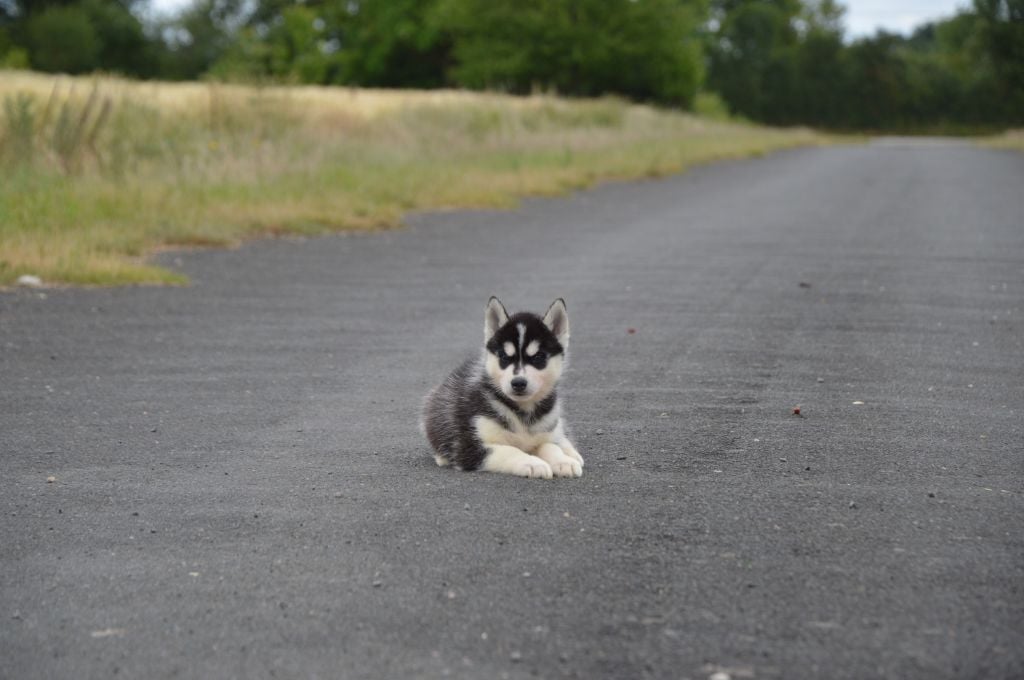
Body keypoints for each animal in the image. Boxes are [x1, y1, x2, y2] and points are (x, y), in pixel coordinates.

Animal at [421, 296, 585, 477]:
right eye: (504, 357)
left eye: (538, 357)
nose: (518, 383)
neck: (523, 412)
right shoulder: (469, 446)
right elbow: (510, 450)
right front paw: (533, 463)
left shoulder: (543, 431)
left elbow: (549, 445)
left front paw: (563, 461)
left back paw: (571, 452)